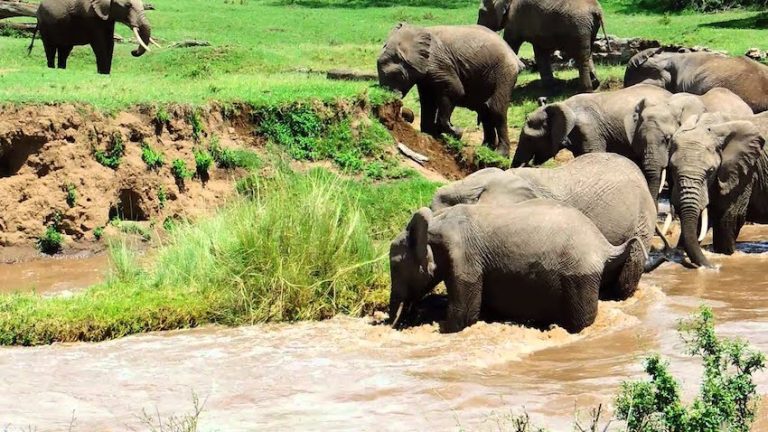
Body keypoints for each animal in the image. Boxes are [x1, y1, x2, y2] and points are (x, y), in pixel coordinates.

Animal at [377, 23, 522, 156]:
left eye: (397, 76)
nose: (408, 115)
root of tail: (514, 56)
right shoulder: (426, 74)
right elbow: (427, 100)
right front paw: (430, 135)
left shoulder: (437, 63)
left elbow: (455, 90)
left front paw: (456, 132)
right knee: (484, 110)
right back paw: (485, 149)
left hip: (504, 73)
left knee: (496, 109)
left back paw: (500, 154)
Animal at [388, 200, 645, 333]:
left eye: (395, 265)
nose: (397, 325)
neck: (436, 221)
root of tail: (604, 246)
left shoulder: (464, 257)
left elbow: (466, 314)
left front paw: (443, 327)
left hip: (580, 275)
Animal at [477, 0, 605, 93]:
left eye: (481, 12)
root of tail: (597, 11)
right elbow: (540, 52)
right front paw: (549, 86)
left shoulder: (514, 19)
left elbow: (511, 44)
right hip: (588, 27)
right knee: (588, 53)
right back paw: (595, 84)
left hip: (578, 27)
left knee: (581, 55)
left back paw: (585, 90)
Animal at [667, 113, 768, 268]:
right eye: (672, 168)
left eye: (711, 171)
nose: (714, 267)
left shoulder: (744, 173)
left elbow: (730, 218)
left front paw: (724, 255)